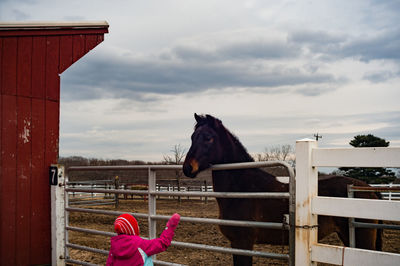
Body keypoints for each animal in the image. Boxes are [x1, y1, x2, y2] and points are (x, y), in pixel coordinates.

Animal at [182, 114, 382, 266]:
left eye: (208, 137)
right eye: (192, 137)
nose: (187, 168)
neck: (243, 190)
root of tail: (369, 189)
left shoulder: (243, 243)